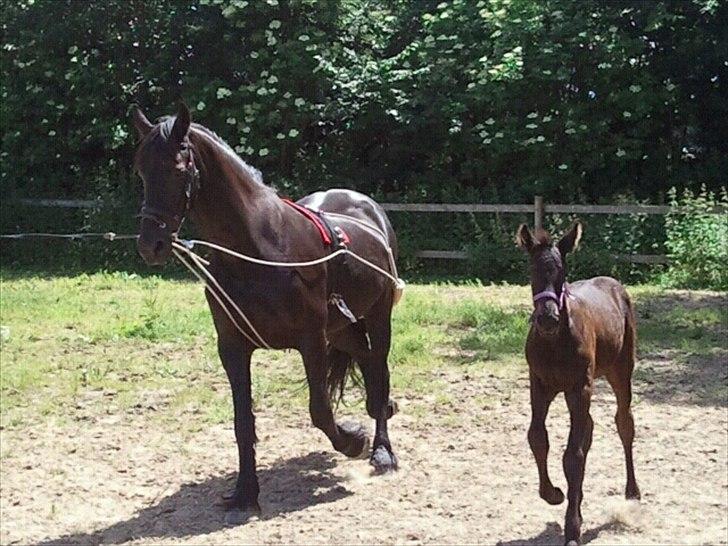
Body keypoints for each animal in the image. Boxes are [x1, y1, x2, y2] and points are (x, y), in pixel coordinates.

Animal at [134, 103, 400, 520]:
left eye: (178, 169)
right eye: (141, 171)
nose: (151, 244)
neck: (260, 248)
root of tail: (367, 208)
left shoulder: (311, 341)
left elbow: (320, 411)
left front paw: (354, 441)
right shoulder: (232, 346)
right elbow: (242, 422)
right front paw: (245, 491)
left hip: (378, 315)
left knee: (379, 367)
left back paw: (382, 451)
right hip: (342, 330)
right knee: (368, 363)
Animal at [516, 221, 640, 544]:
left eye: (562, 271)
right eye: (532, 270)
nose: (547, 318)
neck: (555, 341)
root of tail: (615, 285)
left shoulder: (579, 387)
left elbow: (573, 455)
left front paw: (572, 527)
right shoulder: (540, 384)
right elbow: (538, 438)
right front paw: (554, 494)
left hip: (620, 371)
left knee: (624, 423)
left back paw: (632, 491)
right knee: (591, 428)